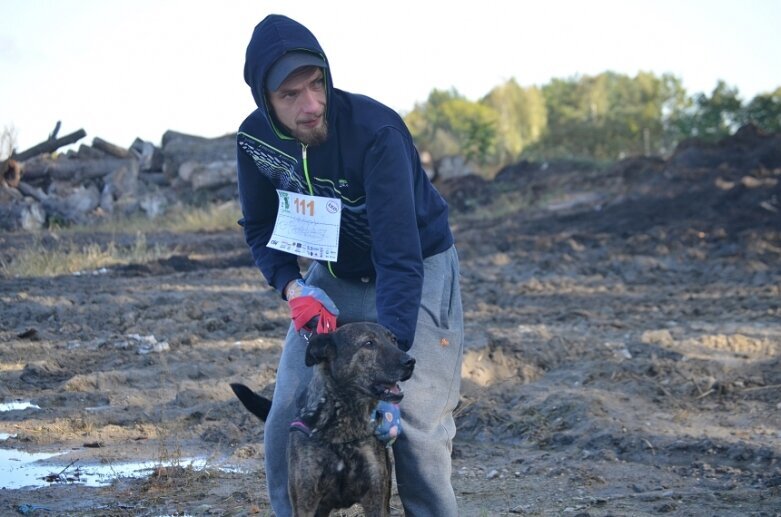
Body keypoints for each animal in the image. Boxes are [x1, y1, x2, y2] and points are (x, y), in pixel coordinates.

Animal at [230, 320, 414, 512]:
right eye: (368, 343)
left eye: (394, 340)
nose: (410, 361)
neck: (344, 424)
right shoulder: (305, 501)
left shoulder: (375, 498)